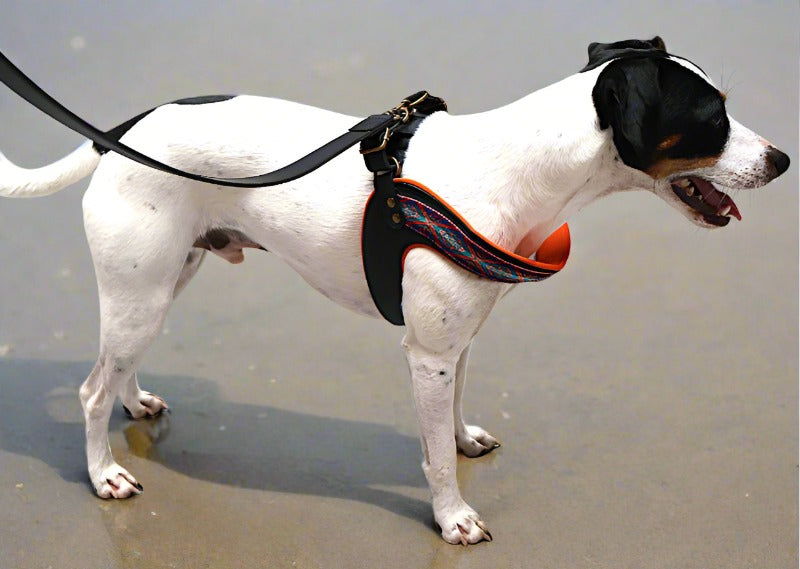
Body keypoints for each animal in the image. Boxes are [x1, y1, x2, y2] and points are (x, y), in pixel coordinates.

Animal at [0, 37, 788, 544]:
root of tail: (126, 129)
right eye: (713, 120)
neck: (514, 172)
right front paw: (453, 517)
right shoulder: (426, 354)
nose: (782, 159)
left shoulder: (458, 341)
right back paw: (104, 473)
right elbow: (433, 454)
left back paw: (135, 403)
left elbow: (456, 416)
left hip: (163, 282)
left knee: (119, 367)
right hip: (141, 291)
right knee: (91, 390)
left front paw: (465, 438)